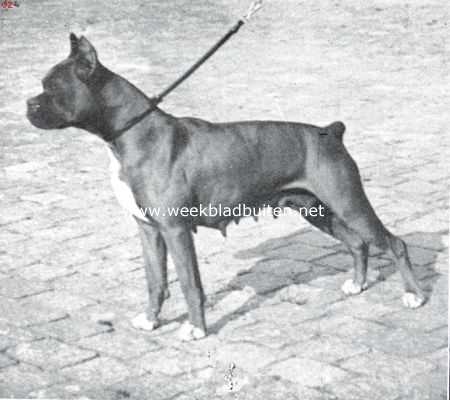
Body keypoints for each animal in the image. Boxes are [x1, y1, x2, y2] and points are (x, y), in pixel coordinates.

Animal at [26, 34, 424, 340]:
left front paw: (196, 329)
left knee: (393, 244)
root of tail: (330, 132)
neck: (133, 131)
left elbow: (190, 283)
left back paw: (414, 296)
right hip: (317, 209)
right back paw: (357, 284)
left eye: (52, 87)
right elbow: (156, 280)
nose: (27, 103)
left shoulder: (174, 230)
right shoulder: (148, 230)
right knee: (358, 243)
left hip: (348, 203)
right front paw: (151, 321)